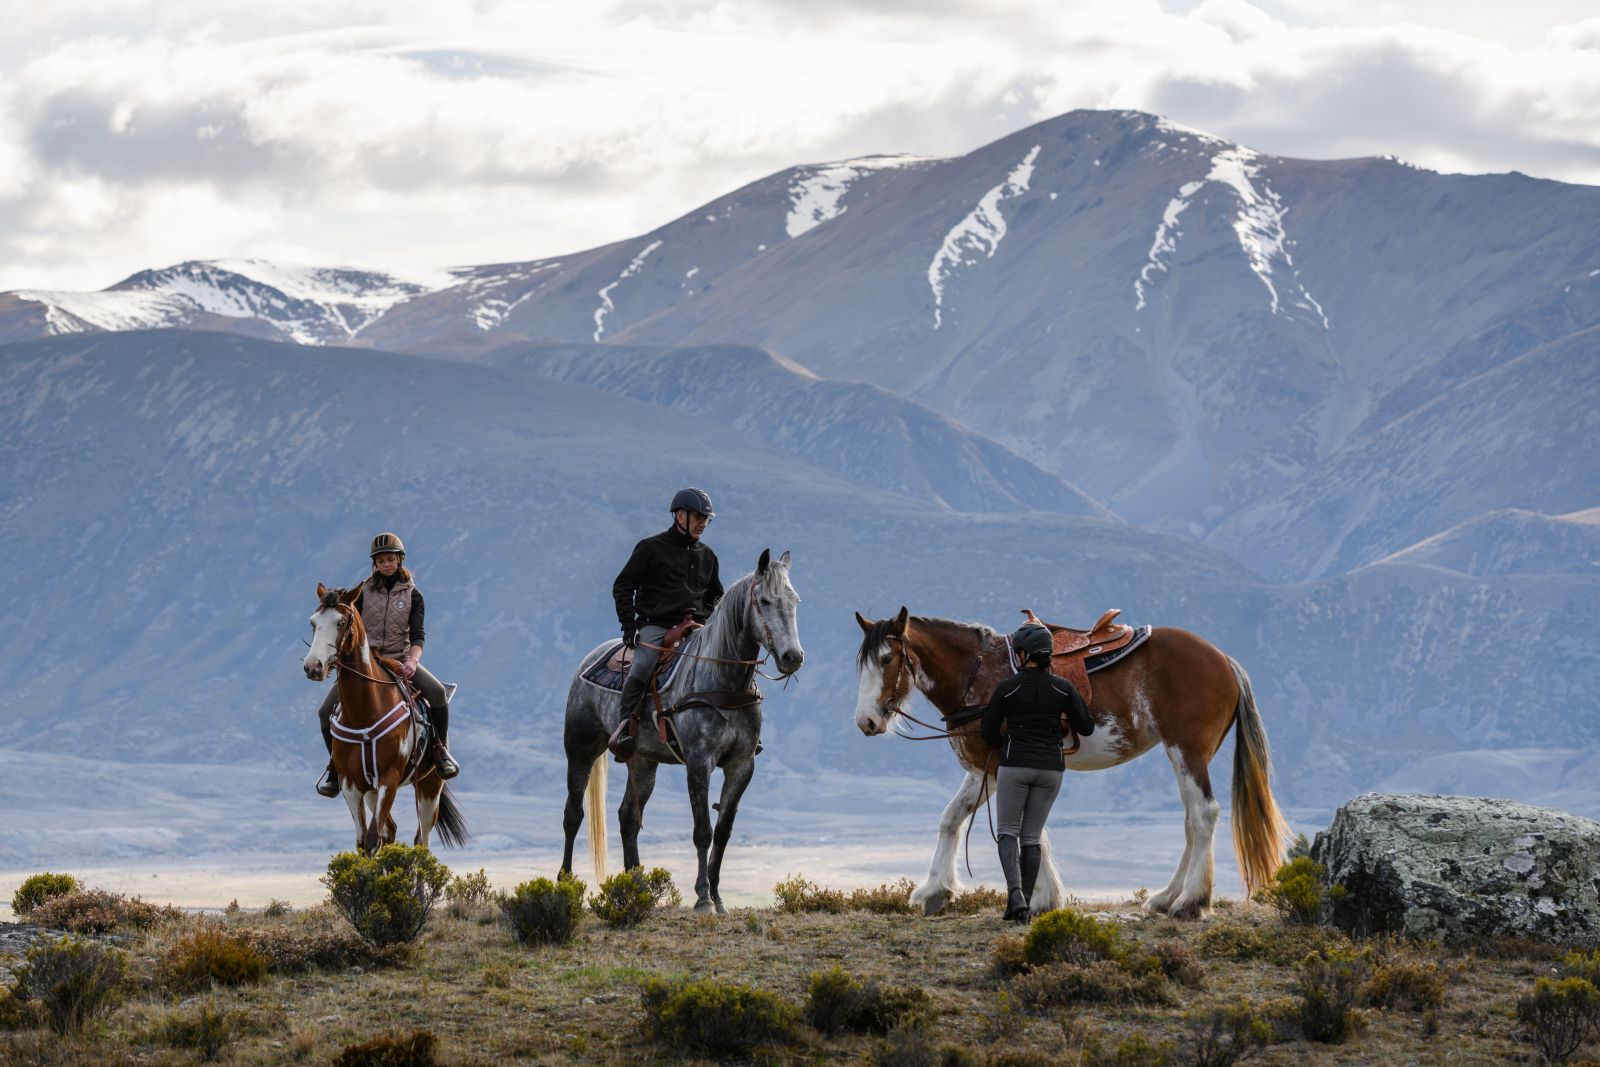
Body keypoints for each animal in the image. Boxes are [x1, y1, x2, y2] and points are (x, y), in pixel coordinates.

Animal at [304, 588, 467, 857]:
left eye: (341, 622)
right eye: (313, 623)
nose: (313, 666)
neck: (364, 711)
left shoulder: (389, 778)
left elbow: (372, 839)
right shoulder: (350, 783)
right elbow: (363, 842)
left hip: (429, 787)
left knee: (421, 841)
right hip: (372, 790)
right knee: (390, 830)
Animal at [566, 556, 812, 915]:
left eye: (794, 601)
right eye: (765, 601)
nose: (792, 657)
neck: (723, 681)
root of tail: (587, 660)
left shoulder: (741, 765)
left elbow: (722, 831)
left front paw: (719, 898)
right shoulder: (699, 762)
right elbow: (702, 831)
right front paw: (703, 898)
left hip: (643, 761)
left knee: (628, 818)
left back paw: (635, 888)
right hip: (580, 749)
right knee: (573, 813)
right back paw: (563, 882)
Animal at [851, 607, 1286, 921]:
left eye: (887, 659)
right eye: (863, 665)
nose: (865, 721)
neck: (978, 674)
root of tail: (1224, 660)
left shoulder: (1002, 765)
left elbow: (1025, 829)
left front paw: (1040, 898)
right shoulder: (985, 769)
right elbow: (954, 818)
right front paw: (936, 890)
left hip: (1187, 750)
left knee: (1204, 814)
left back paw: (1190, 902)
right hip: (1180, 755)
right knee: (1191, 821)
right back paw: (1166, 897)